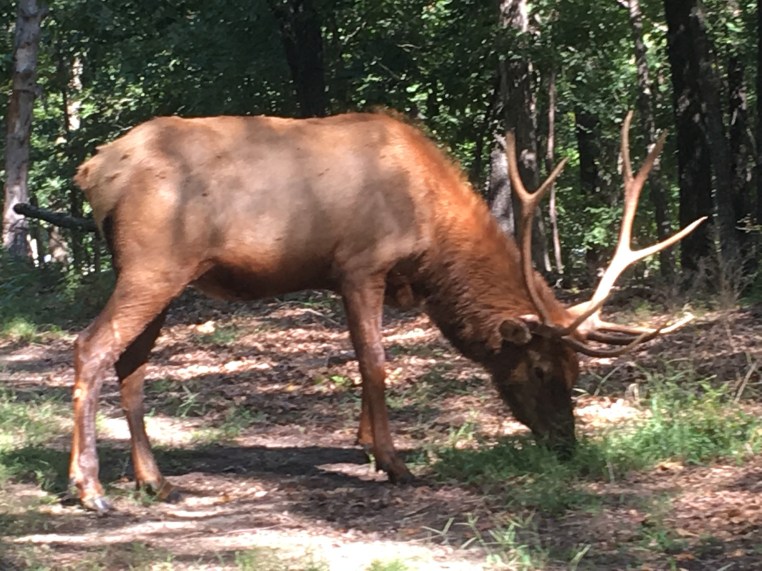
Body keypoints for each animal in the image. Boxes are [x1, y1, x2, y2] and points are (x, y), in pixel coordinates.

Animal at [69, 110, 704, 513]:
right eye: (544, 368)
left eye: (575, 371)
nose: (566, 444)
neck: (430, 240)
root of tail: (93, 170)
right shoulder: (360, 265)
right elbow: (375, 362)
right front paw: (395, 464)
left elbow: (362, 359)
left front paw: (366, 444)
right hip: (154, 262)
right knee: (91, 346)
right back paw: (91, 489)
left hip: (162, 273)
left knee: (132, 364)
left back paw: (155, 481)